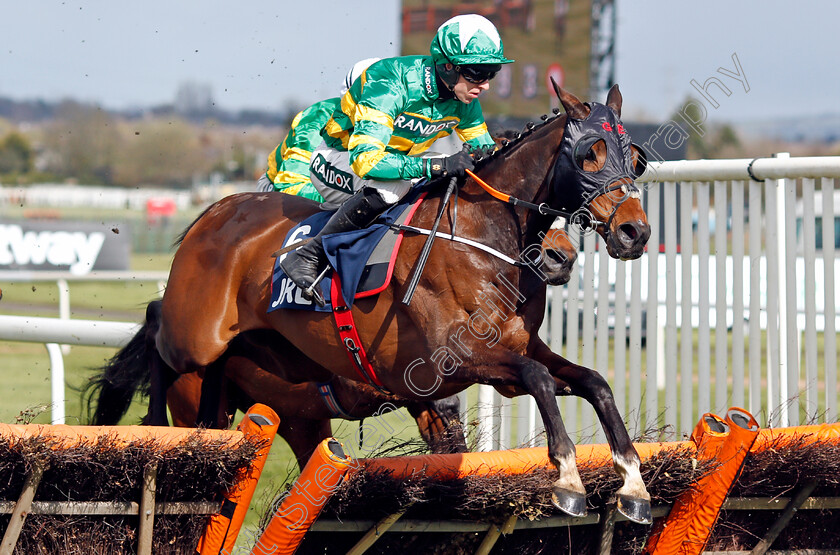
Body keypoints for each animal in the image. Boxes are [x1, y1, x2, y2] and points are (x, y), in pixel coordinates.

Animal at [103, 82, 656, 520]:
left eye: (636, 158)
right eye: (589, 153)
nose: (635, 233)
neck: (481, 237)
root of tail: (213, 212)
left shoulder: (511, 357)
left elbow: (593, 382)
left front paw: (633, 484)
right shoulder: (454, 359)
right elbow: (541, 380)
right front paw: (567, 480)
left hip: (267, 382)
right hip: (195, 339)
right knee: (156, 333)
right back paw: (151, 429)